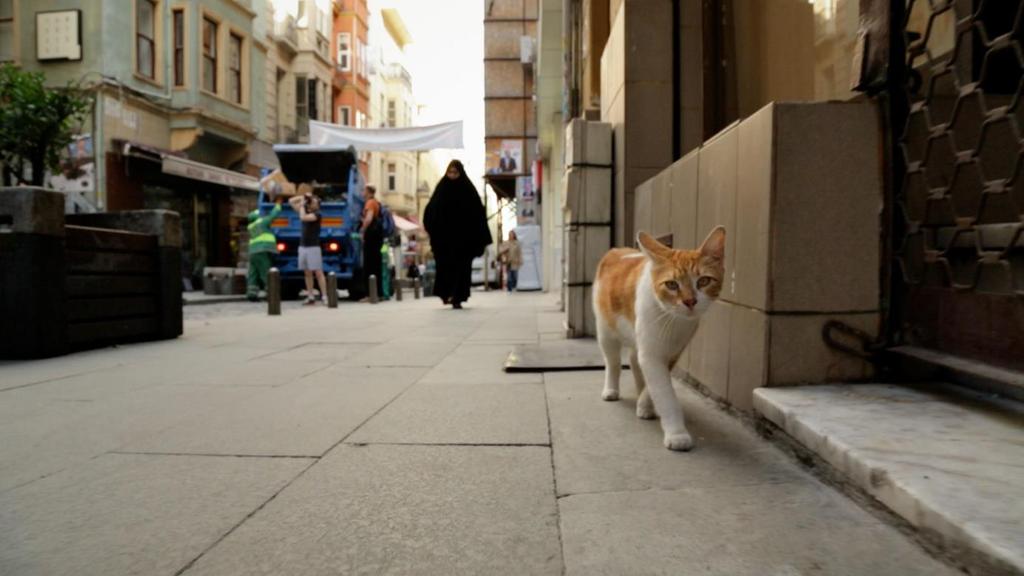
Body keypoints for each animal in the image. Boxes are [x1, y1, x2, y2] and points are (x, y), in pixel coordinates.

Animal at [589, 226, 724, 450]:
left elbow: (655, 382)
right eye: (671, 285)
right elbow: (664, 392)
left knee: (634, 360)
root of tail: (617, 250)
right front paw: (677, 434)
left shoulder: (674, 349)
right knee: (613, 362)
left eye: (703, 281)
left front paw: (645, 403)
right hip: (606, 329)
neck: (673, 319)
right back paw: (611, 389)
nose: (690, 301)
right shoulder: (651, 352)